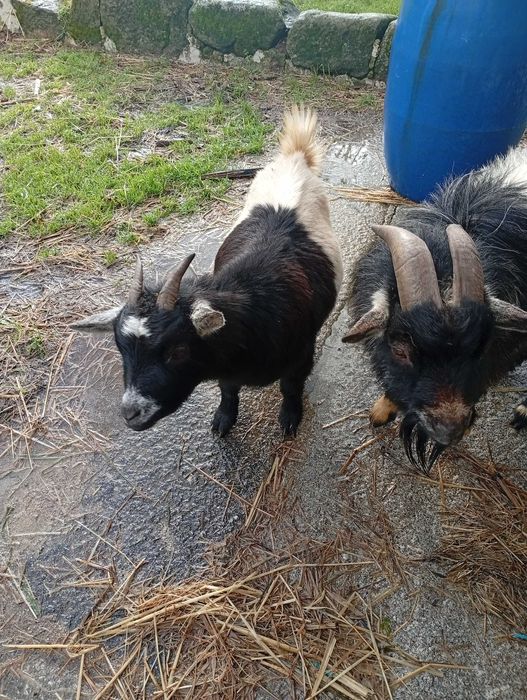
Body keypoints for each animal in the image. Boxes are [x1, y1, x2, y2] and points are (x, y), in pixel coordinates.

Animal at [72, 106, 343, 436]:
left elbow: (290, 387)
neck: (258, 305)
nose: (131, 414)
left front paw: (290, 418)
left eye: (177, 351)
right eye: (120, 349)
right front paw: (223, 419)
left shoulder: (301, 354)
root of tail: (295, 156)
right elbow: (227, 388)